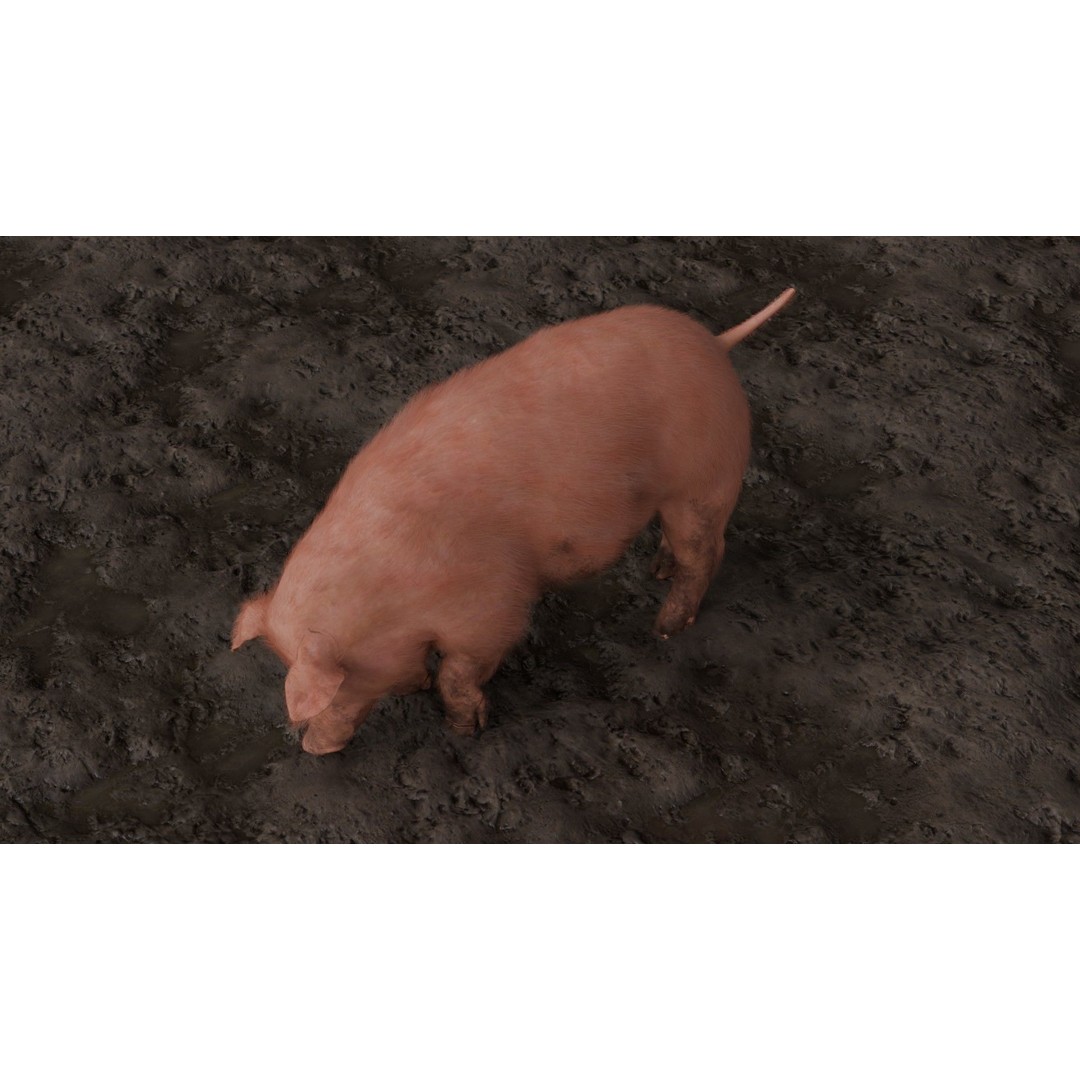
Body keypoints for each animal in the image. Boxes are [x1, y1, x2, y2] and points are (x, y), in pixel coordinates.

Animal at [231, 288, 795, 754]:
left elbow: (459, 673)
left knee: (706, 553)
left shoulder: (492, 604)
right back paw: (656, 574)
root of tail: (716, 343)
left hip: (704, 480)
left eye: (340, 684)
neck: (390, 593)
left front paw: (465, 731)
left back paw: (663, 630)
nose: (310, 748)